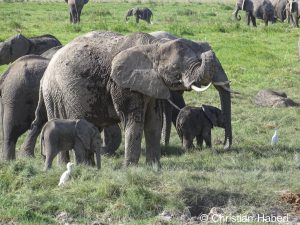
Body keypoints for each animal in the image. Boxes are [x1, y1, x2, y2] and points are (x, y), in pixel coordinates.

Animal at [22, 30, 232, 166]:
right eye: (175, 68)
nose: (208, 48)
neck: (154, 46)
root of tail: (45, 74)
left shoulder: (151, 84)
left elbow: (153, 123)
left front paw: (154, 167)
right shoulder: (122, 84)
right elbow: (134, 122)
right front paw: (131, 168)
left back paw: (88, 167)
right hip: (54, 94)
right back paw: (66, 166)